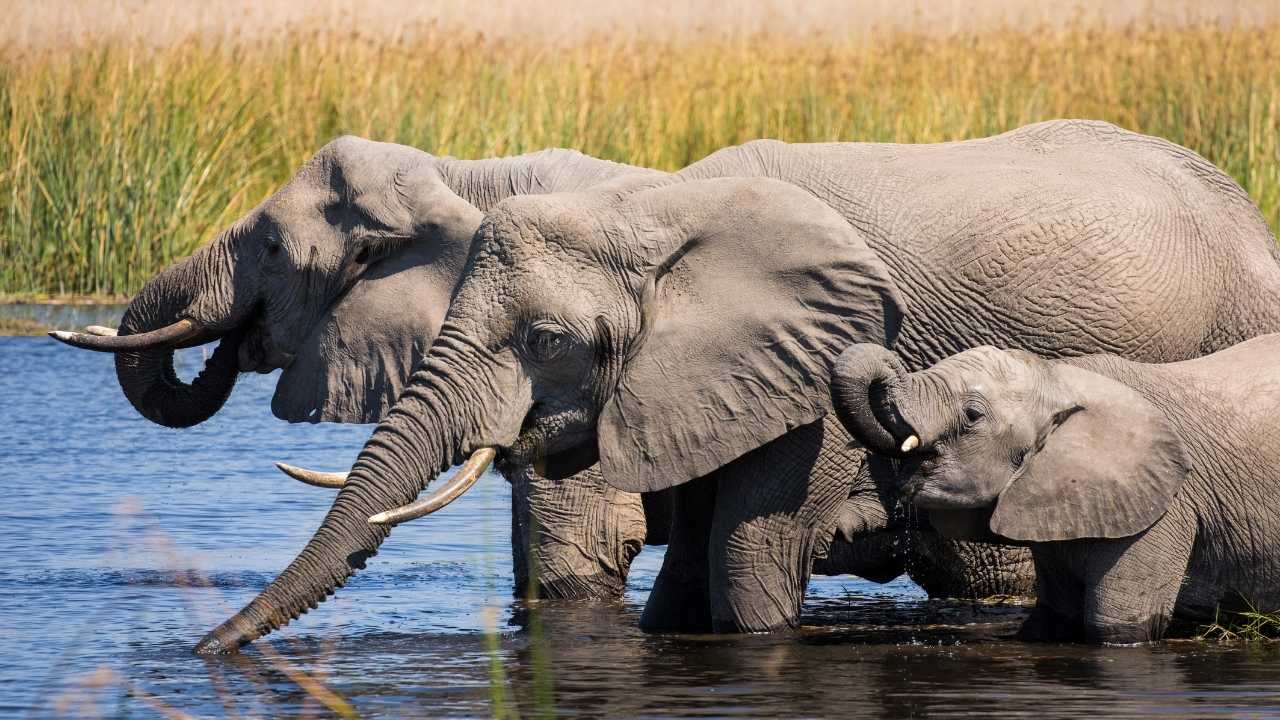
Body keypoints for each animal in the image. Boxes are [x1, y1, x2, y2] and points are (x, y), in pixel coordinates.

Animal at [831, 335, 1280, 644]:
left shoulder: (1166, 510)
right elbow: (1052, 619)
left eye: (972, 415)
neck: (1060, 378)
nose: (842, 527)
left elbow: (1114, 626)